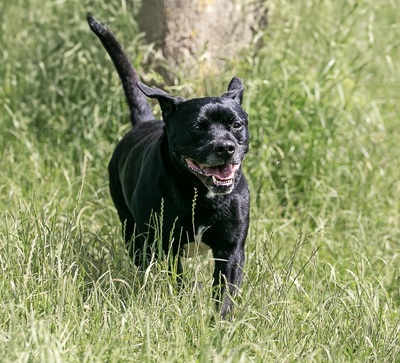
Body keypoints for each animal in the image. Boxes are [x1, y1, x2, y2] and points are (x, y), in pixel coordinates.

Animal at [88, 14, 250, 316]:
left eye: (236, 124)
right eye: (197, 126)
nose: (225, 147)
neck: (199, 193)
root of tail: (143, 121)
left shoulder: (231, 249)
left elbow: (224, 293)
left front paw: (220, 323)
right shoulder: (166, 243)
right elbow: (176, 279)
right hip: (133, 232)